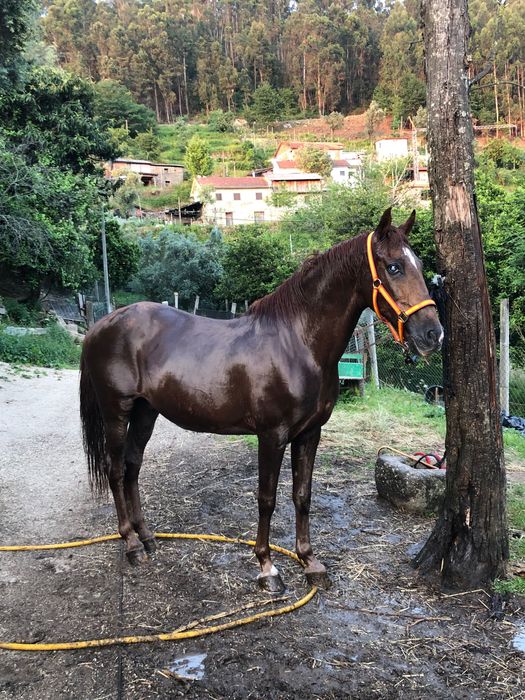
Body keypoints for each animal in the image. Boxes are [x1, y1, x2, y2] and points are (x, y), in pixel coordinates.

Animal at [79, 208, 443, 592]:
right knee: (115, 469)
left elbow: (302, 495)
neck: (297, 343)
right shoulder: (272, 435)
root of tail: (103, 324)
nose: (432, 334)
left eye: (419, 264)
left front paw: (310, 562)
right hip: (116, 411)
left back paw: (147, 537)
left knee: (133, 466)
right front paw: (268, 568)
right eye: (393, 267)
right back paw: (131, 544)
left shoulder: (309, 434)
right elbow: (266, 499)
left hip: (145, 412)